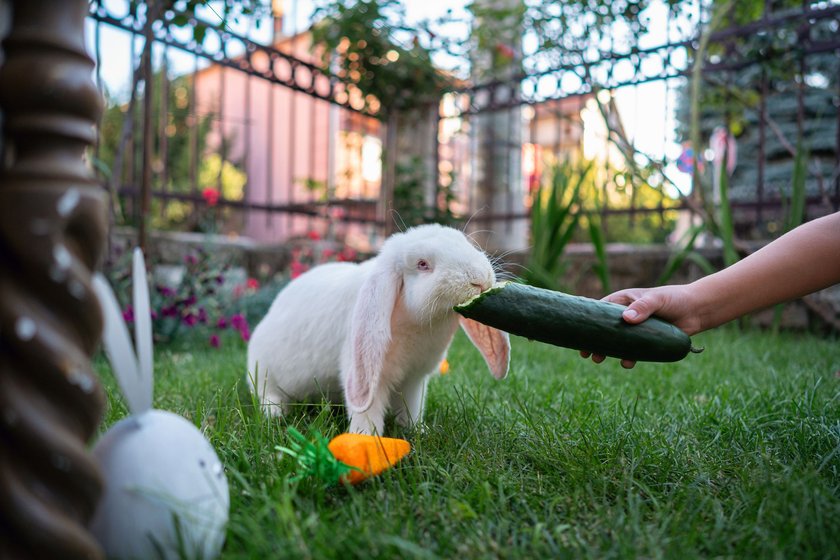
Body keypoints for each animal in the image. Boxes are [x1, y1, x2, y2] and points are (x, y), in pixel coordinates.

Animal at [248, 222, 512, 434]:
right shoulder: (369, 376)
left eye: (464, 242)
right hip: (265, 374)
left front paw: (417, 430)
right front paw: (366, 439)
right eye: (422, 264)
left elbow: (411, 407)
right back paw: (274, 413)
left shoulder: (414, 380)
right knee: (266, 394)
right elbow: (367, 412)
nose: (479, 279)